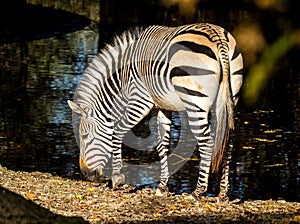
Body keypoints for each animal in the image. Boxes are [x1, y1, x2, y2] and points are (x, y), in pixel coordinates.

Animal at [67, 22, 243, 200]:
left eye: (84, 136)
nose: (84, 173)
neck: (122, 79)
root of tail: (217, 37)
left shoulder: (139, 101)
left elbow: (117, 132)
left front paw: (116, 178)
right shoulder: (163, 107)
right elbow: (162, 145)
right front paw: (162, 186)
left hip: (194, 100)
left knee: (207, 143)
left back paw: (197, 192)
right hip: (230, 98)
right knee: (227, 141)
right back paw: (223, 193)